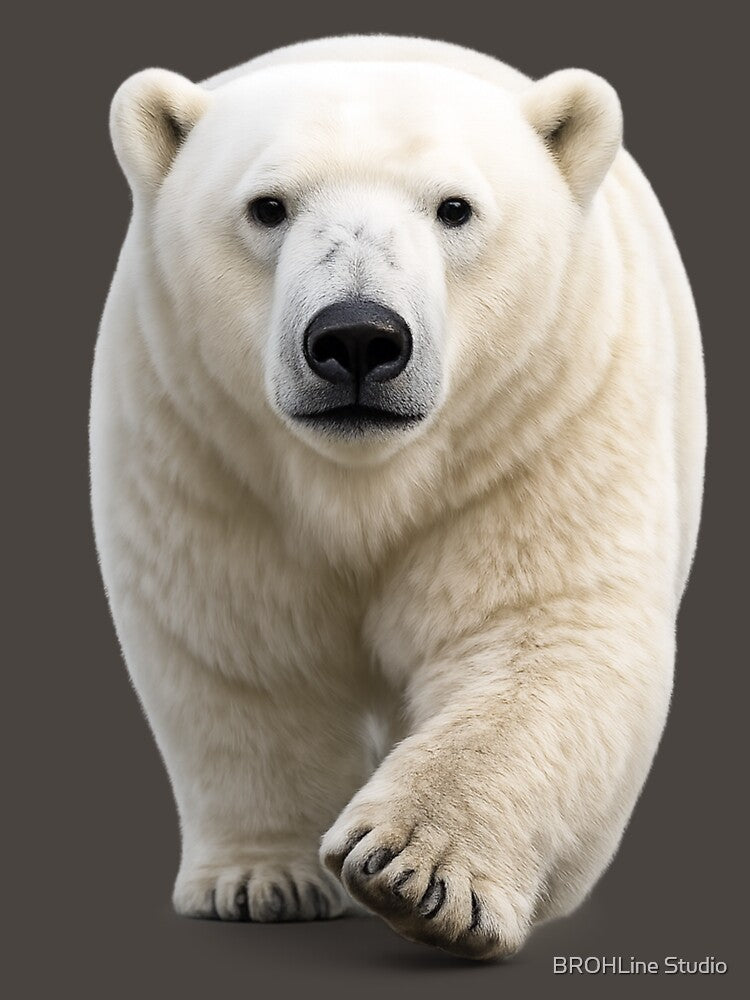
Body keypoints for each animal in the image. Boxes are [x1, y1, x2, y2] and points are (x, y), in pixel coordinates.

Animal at [90, 34, 706, 960]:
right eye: (267, 207)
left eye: (455, 208)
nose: (356, 336)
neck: (364, 476)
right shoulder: (203, 445)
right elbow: (242, 649)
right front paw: (261, 880)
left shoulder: (544, 423)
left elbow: (542, 637)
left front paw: (415, 872)